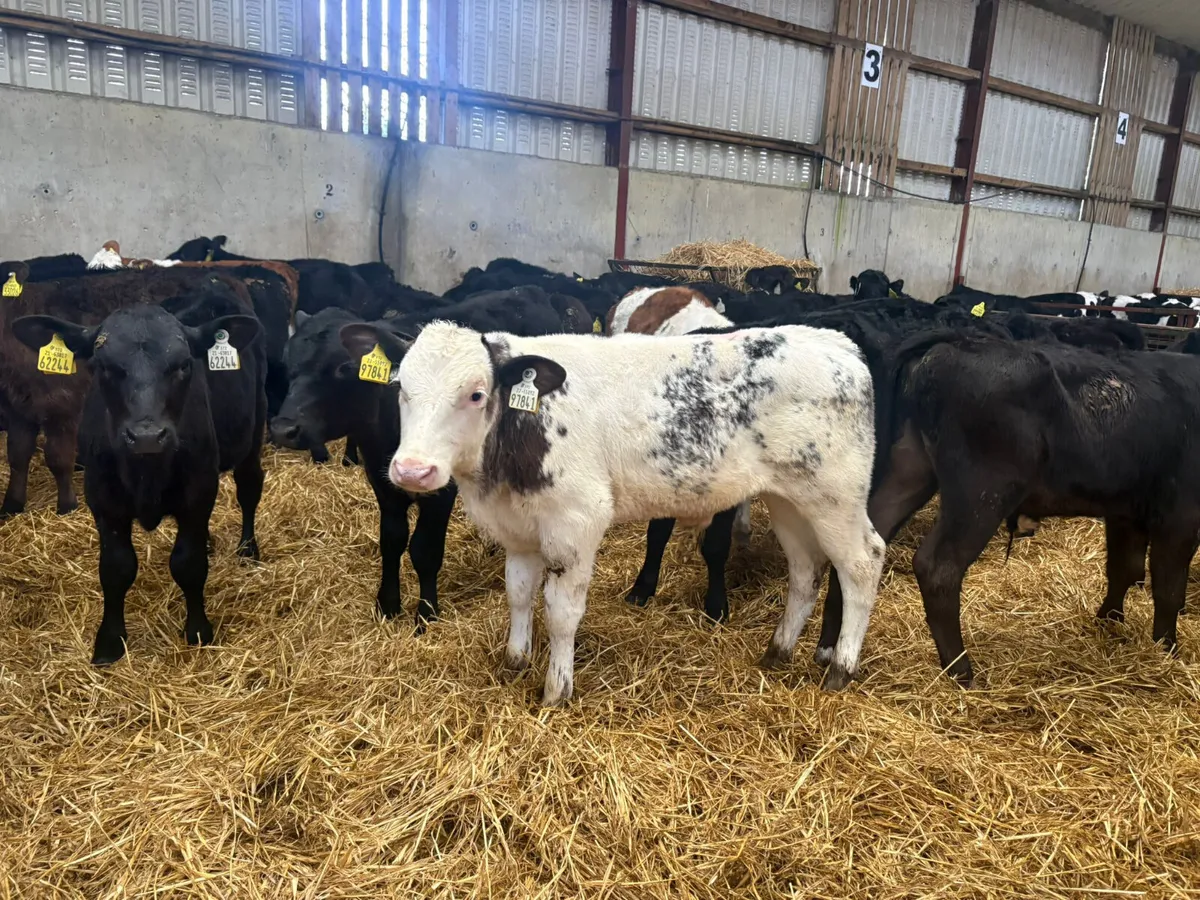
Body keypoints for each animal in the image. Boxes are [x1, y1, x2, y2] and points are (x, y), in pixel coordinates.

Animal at [11, 290, 266, 664]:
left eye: (184, 365)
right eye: (103, 366)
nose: (147, 436)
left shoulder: (199, 491)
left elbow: (188, 564)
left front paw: (198, 630)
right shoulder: (103, 500)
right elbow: (116, 568)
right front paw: (109, 643)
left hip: (255, 430)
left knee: (249, 488)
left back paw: (248, 549)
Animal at [344, 320, 886, 706]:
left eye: (476, 394)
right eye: (401, 389)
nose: (412, 470)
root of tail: (834, 342)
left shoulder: (577, 519)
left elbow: (561, 613)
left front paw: (556, 690)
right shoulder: (518, 528)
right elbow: (518, 593)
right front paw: (515, 660)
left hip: (835, 495)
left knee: (863, 562)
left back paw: (841, 668)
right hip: (788, 499)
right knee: (806, 571)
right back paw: (778, 652)